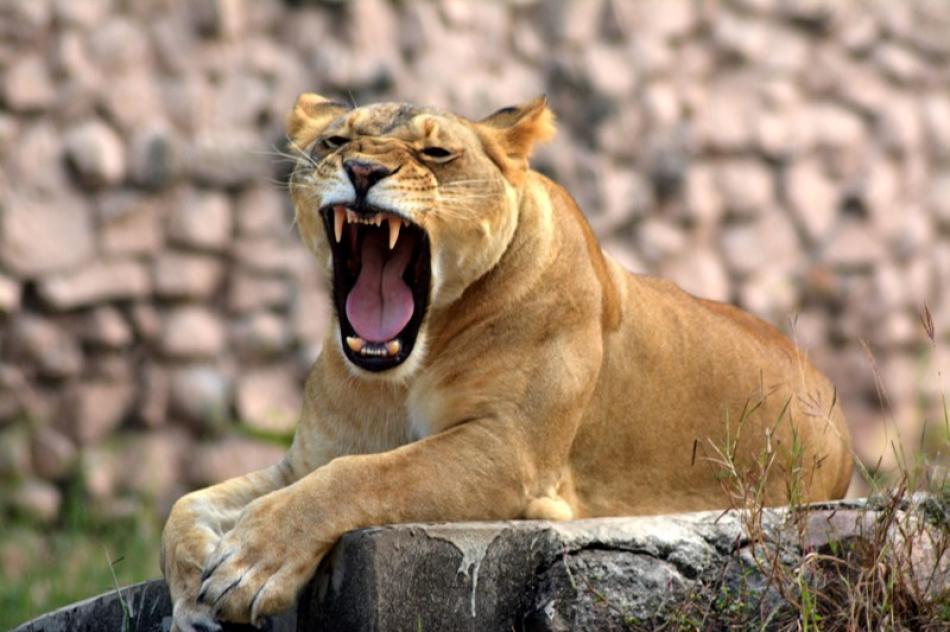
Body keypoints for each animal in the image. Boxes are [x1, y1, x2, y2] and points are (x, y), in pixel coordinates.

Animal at [164, 95, 856, 632]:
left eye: (436, 153)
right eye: (335, 140)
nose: (361, 168)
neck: (396, 376)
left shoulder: (510, 450)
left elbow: (369, 475)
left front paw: (253, 562)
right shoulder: (304, 460)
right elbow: (186, 506)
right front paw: (192, 597)